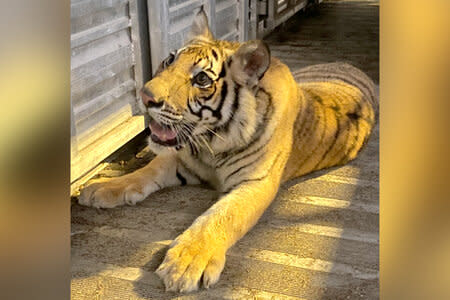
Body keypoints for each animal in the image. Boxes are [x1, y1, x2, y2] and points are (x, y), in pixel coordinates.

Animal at [79, 8, 378, 292]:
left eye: (201, 79)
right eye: (169, 60)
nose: (145, 96)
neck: (212, 143)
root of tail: (347, 63)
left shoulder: (255, 182)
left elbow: (220, 217)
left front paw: (186, 263)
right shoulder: (181, 160)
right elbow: (143, 172)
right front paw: (100, 189)